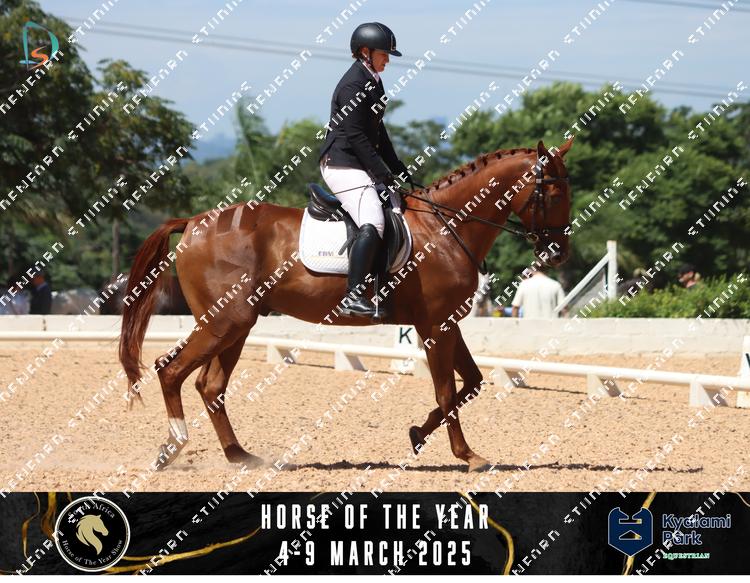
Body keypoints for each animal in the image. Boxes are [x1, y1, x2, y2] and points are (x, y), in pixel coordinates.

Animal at [118, 138, 574, 473]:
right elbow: (446, 390)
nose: (558, 255)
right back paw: (174, 447)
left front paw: (417, 433)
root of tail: (193, 223)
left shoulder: (447, 322)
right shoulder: (434, 325)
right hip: (225, 322)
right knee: (170, 370)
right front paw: (468, 456)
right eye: (553, 192)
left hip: (237, 326)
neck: (444, 227)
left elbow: (473, 382)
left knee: (210, 385)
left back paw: (239, 456)